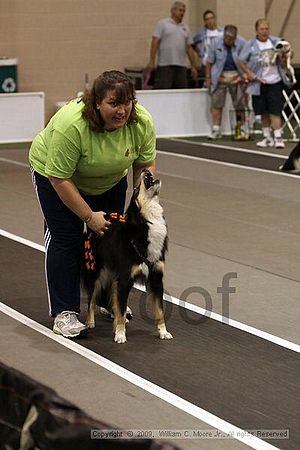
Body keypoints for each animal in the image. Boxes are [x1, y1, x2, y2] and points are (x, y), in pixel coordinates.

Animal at [82, 171, 172, 342]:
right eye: (136, 189)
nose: (146, 171)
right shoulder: (125, 279)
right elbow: (122, 310)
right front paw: (120, 334)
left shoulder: (156, 279)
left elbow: (159, 310)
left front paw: (163, 331)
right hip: (97, 272)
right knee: (91, 298)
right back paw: (89, 322)